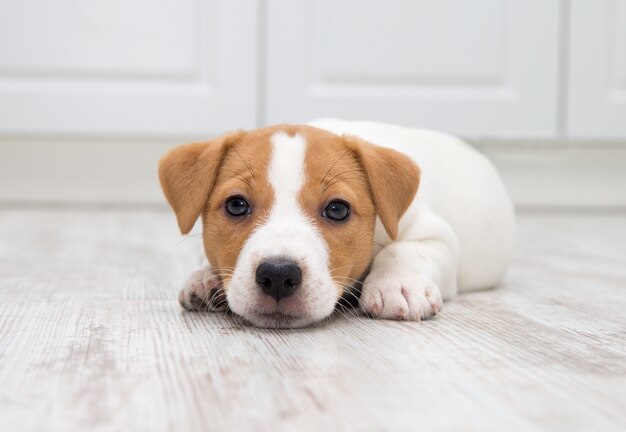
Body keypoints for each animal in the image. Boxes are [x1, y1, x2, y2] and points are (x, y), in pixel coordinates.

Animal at [158, 118, 516, 328]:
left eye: (338, 210)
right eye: (236, 205)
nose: (278, 276)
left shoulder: (433, 233)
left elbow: (405, 251)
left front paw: (397, 284)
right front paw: (206, 278)